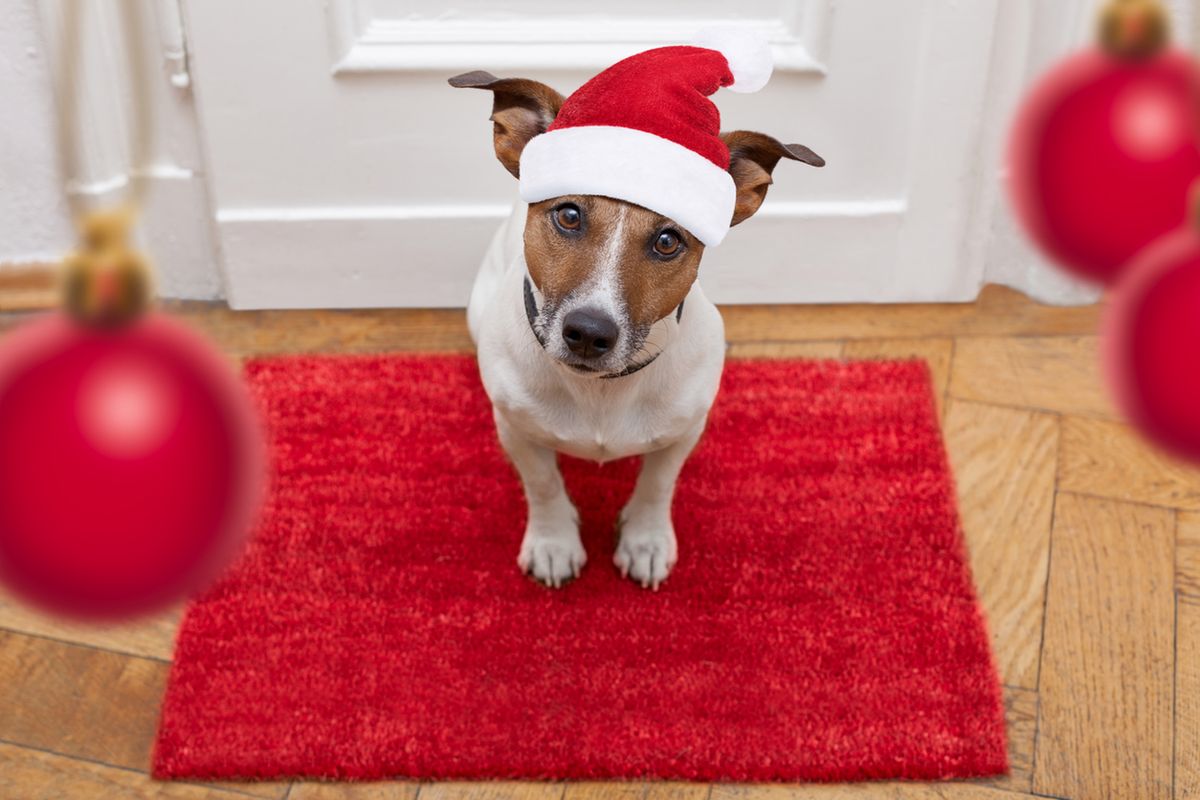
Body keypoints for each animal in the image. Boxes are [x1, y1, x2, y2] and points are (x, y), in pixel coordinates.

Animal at [451, 51, 825, 587]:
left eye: (668, 241)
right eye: (568, 215)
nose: (588, 333)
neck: (601, 392)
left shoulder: (684, 431)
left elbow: (657, 483)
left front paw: (645, 540)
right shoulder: (516, 428)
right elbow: (542, 482)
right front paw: (553, 542)